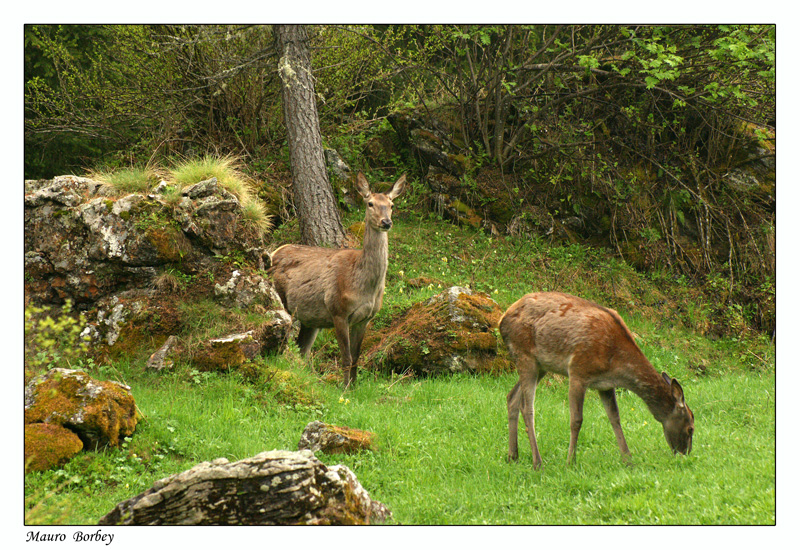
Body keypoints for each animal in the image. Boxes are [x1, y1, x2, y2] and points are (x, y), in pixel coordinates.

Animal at [268, 172, 406, 388]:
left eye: (391, 204)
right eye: (370, 203)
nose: (386, 222)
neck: (364, 286)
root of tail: (273, 252)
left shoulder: (365, 319)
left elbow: (357, 357)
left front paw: (355, 387)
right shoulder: (338, 311)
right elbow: (346, 357)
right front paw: (345, 388)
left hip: (311, 319)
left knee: (302, 350)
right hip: (282, 300)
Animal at [500, 294, 692, 470]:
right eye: (690, 428)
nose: (685, 453)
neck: (616, 362)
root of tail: (502, 320)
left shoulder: (605, 385)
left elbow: (615, 418)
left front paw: (628, 460)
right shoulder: (577, 371)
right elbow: (576, 420)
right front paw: (570, 462)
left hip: (541, 366)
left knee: (512, 397)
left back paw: (512, 456)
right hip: (525, 355)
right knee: (527, 408)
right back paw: (537, 462)